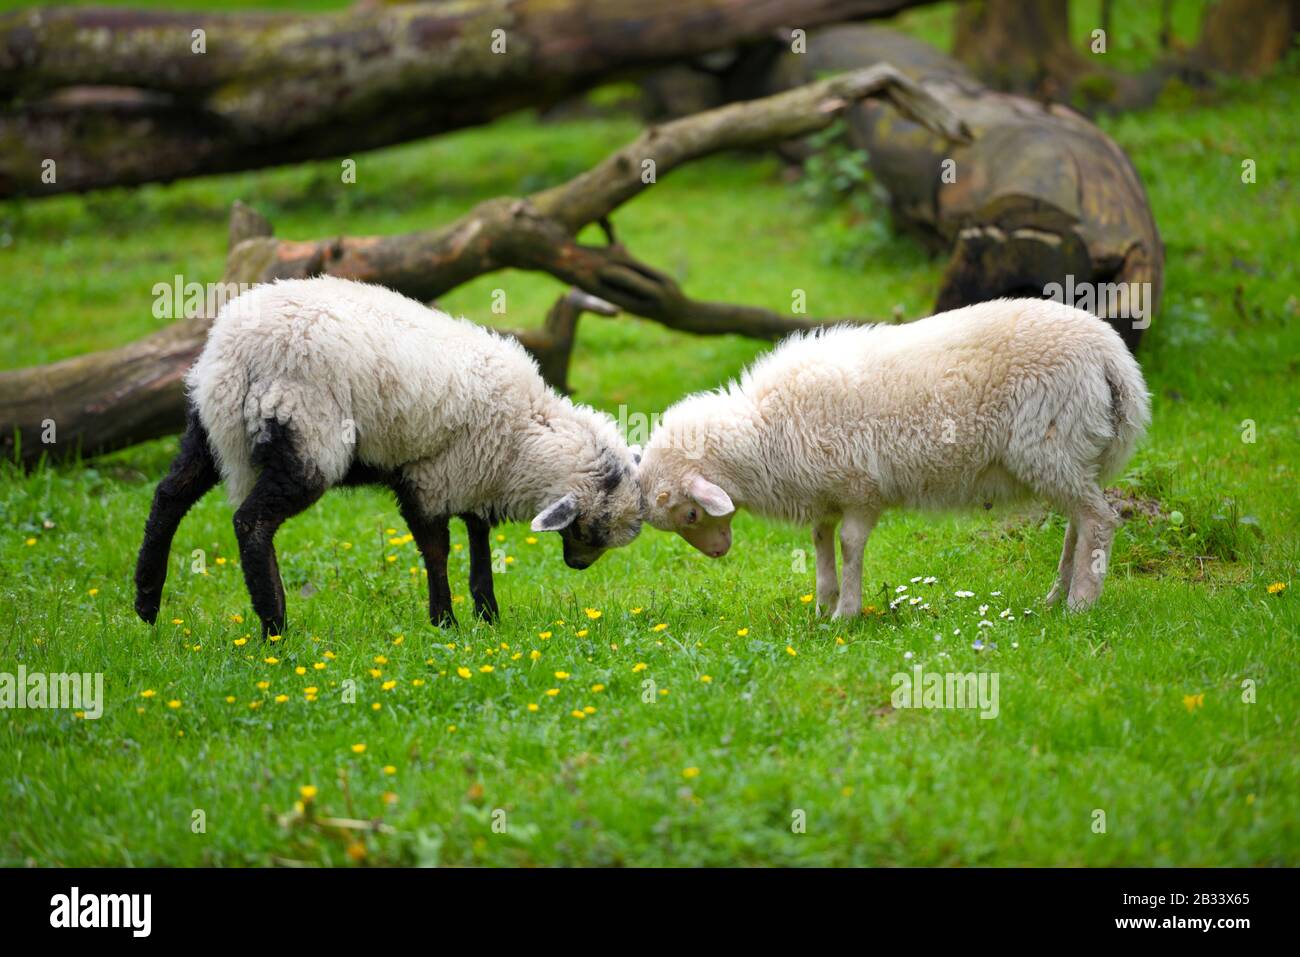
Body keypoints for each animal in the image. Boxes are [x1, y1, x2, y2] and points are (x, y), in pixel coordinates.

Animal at [134, 276, 643, 636]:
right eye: (593, 530)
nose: (577, 566)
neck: (525, 434)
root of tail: (234, 350)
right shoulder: (432, 478)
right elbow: (438, 550)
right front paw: (445, 622)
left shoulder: (473, 476)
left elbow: (479, 543)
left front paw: (487, 613)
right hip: (307, 435)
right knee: (250, 521)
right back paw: (273, 623)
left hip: (206, 424)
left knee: (169, 496)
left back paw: (147, 602)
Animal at [637, 298, 1150, 616]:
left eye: (689, 513)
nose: (719, 553)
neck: (764, 433)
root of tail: (1114, 359)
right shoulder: (823, 493)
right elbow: (820, 543)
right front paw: (823, 605)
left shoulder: (861, 489)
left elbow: (849, 545)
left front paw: (846, 613)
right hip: (1071, 455)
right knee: (1078, 522)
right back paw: (1055, 597)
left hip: (1050, 445)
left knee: (1099, 521)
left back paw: (1081, 604)